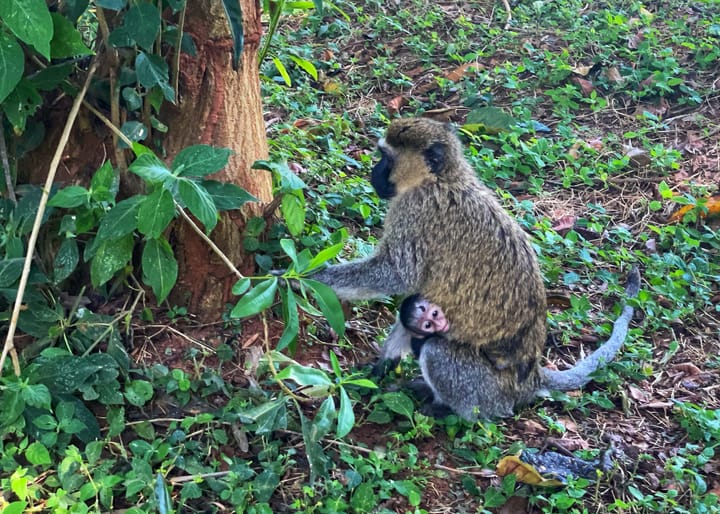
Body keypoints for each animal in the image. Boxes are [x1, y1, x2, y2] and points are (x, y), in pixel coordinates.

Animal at [310, 117, 641, 420]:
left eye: (386, 158)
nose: (374, 173)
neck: (444, 180)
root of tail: (531, 378)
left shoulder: (415, 210)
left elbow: (395, 275)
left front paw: (308, 277)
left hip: (486, 388)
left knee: (438, 352)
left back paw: (450, 410)